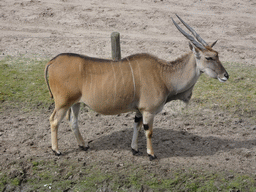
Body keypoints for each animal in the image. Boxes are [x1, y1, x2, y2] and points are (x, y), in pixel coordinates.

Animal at [45, 15, 229, 160]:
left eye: (217, 54)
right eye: (209, 57)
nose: (226, 75)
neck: (164, 76)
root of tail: (53, 61)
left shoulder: (139, 111)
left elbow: (137, 126)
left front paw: (134, 149)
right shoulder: (148, 111)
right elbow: (148, 131)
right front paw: (151, 154)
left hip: (75, 103)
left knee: (73, 121)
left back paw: (83, 145)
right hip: (63, 103)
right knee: (54, 121)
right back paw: (56, 150)